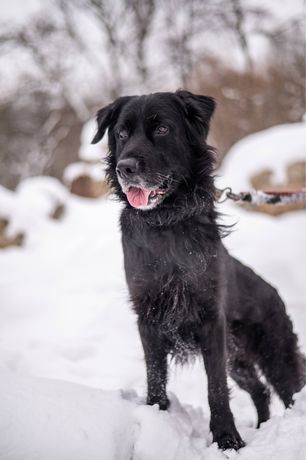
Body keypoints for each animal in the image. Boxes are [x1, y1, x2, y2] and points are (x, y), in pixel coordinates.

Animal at [92, 91, 304, 452]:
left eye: (162, 128)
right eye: (121, 133)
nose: (125, 168)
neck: (166, 224)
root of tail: (273, 292)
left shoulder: (210, 322)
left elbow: (215, 388)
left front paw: (227, 439)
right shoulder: (148, 319)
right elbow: (155, 377)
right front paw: (157, 420)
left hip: (274, 353)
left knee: (289, 389)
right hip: (239, 361)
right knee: (260, 390)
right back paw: (263, 426)